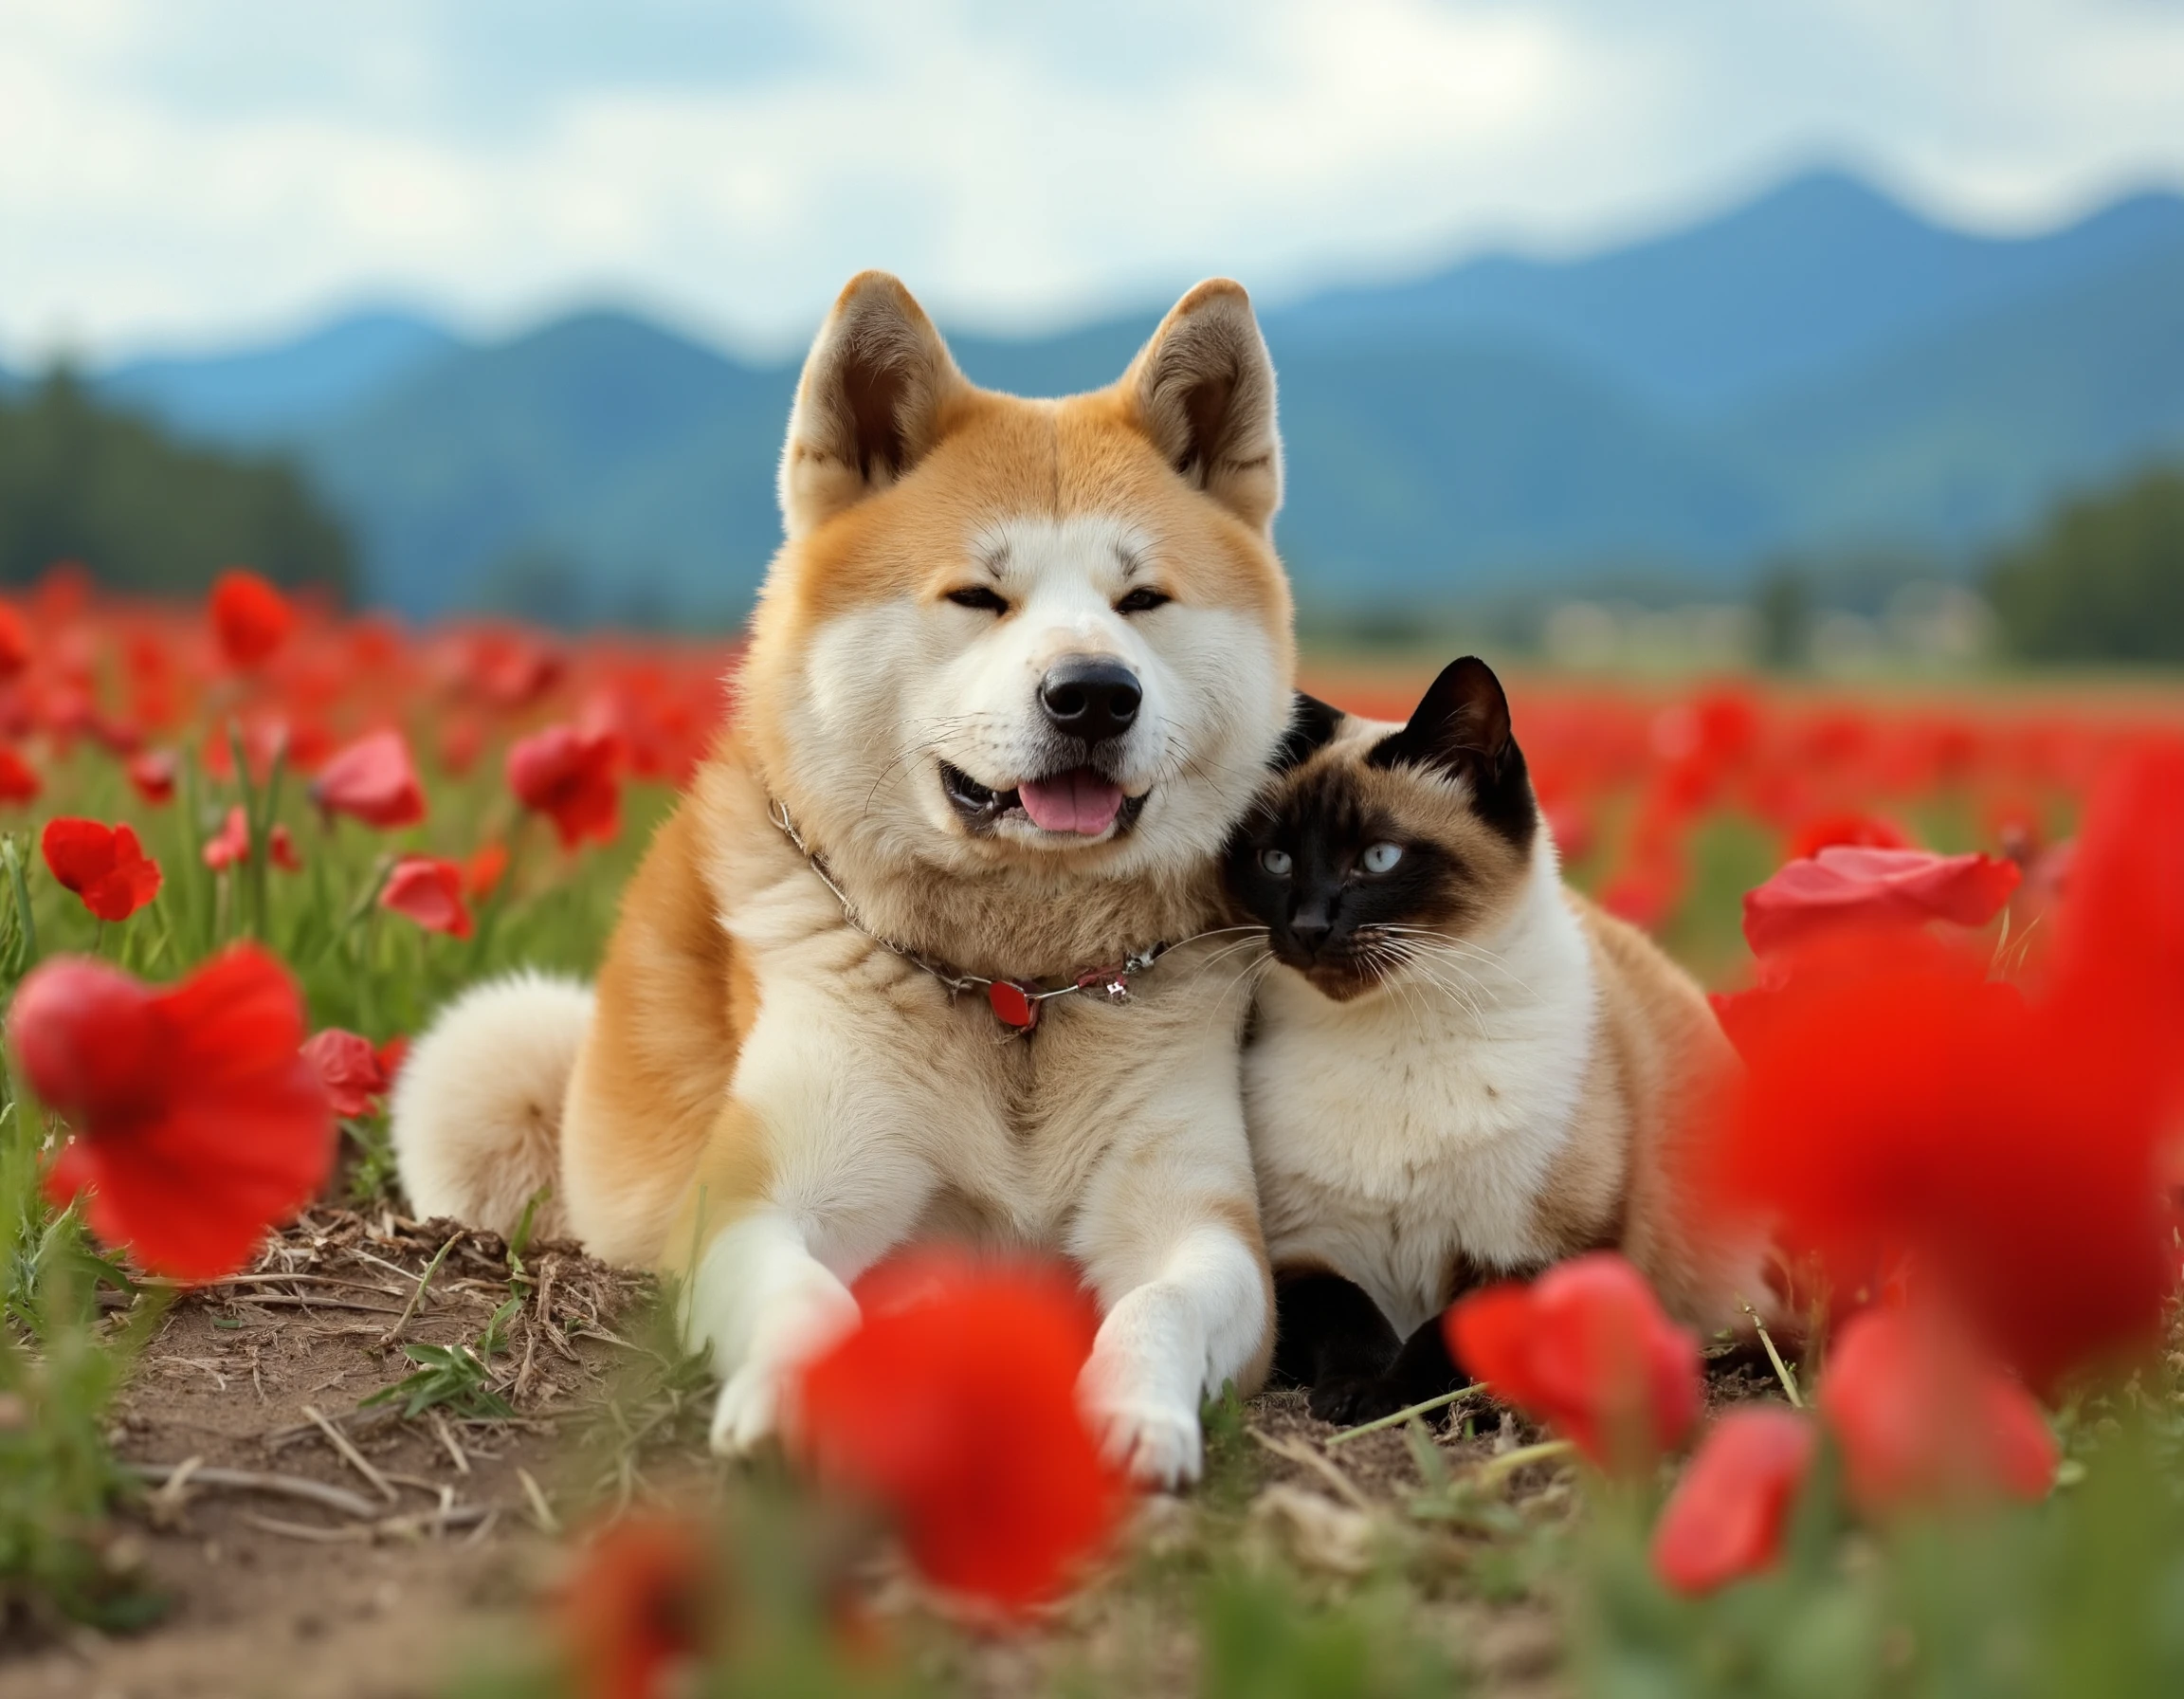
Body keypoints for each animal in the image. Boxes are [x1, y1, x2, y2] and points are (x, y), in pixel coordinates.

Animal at [392, 271, 1292, 1476]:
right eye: (978, 597)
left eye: (1142, 600)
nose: (1095, 693)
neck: (1017, 992)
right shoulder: (757, 1200)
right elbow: (804, 1294)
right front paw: (803, 1398)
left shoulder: (1197, 1223)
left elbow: (1162, 1303)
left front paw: (1137, 1410)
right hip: (487, 1065)